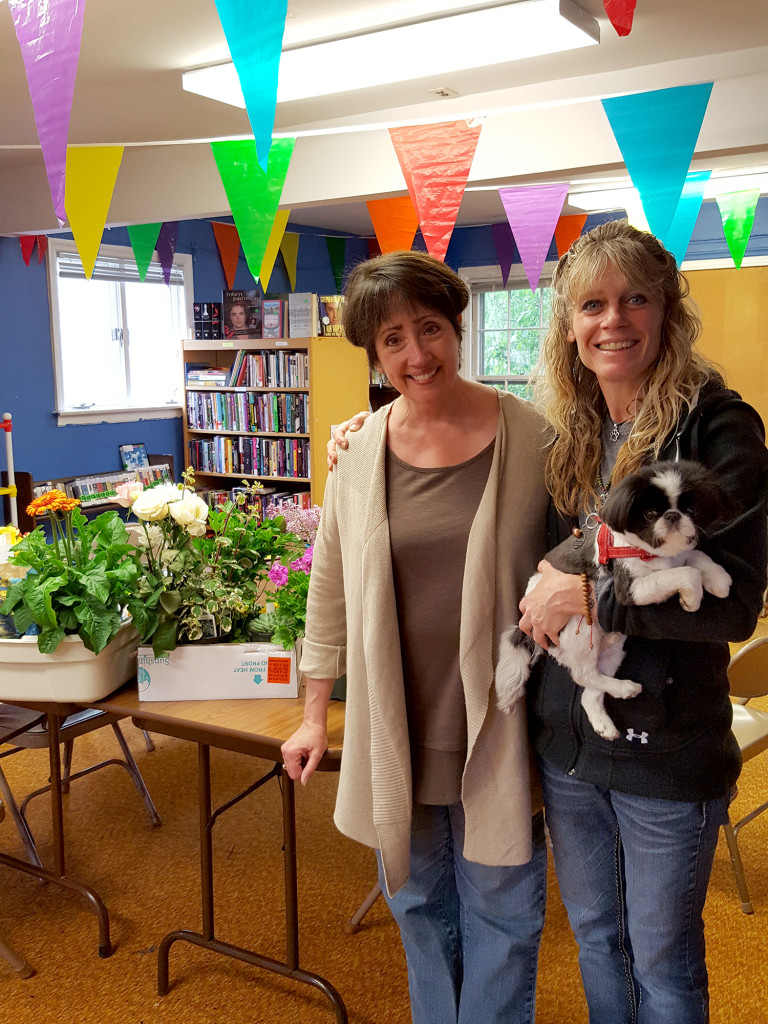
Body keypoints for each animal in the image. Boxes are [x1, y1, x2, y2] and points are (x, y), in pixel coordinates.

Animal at [499, 460, 733, 741]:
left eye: (691, 510)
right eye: (649, 514)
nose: (673, 516)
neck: (653, 553)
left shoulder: (679, 555)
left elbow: (695, 557)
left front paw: (718, 578)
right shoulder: (631, 588)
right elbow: (687, 573)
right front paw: (693, 597)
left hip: (614, 649)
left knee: (590, 692)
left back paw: (606, 718)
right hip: (580, 629)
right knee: (583, 675)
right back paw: (624, 688)